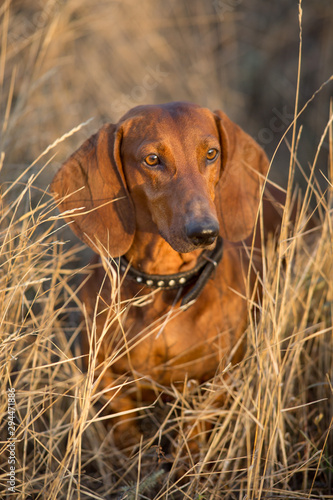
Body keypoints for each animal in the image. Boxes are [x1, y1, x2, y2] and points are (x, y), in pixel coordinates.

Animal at [50, 101, 282, 450]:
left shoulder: (214, 382)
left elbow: (193, 437)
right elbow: (125, 433)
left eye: (211, 153)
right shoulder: (107, 382)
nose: (205, 232)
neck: (164, 281)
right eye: (152, 159)